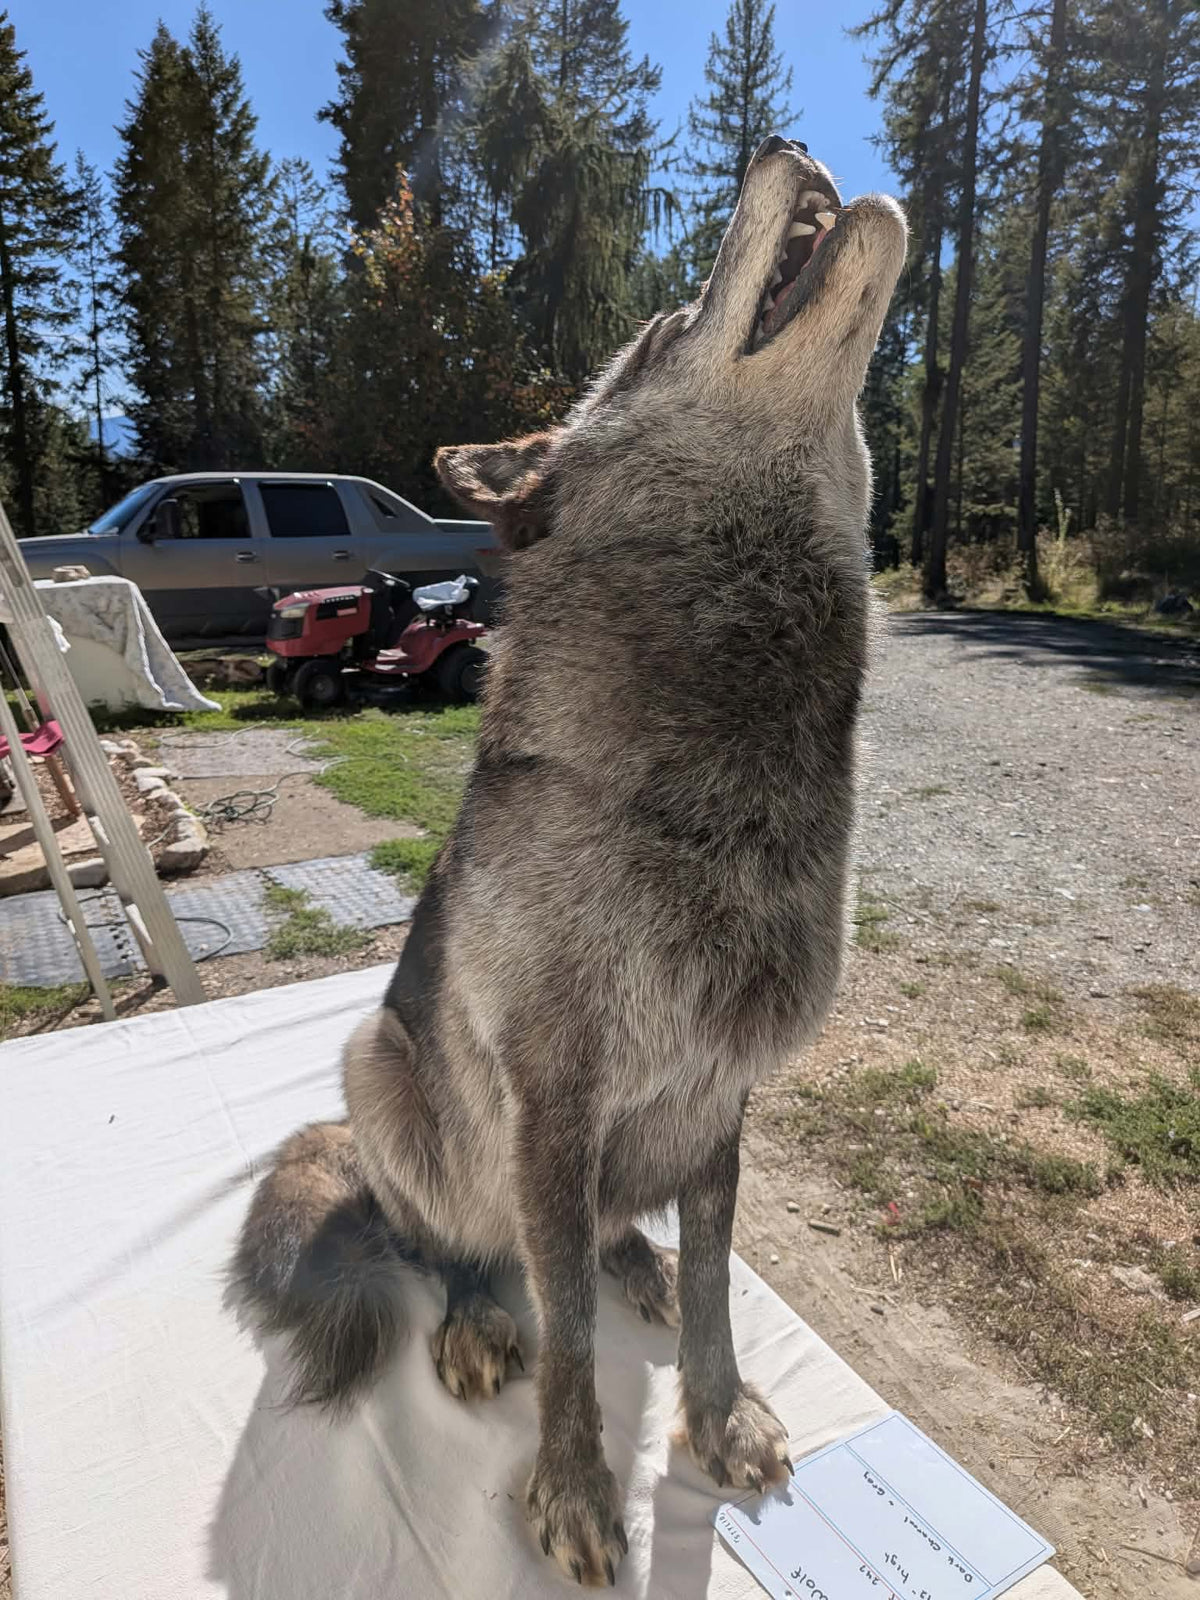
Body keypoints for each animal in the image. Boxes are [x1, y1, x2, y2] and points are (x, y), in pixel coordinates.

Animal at [230, 135, 906, 1587]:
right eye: (660, 329)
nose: (783, 147)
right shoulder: (552, 1099)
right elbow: (572, 1344)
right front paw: (578, 1492)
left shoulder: (722, 1092)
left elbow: (712, 1285)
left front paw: (716, 1415)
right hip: (376, 1067)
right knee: (461, 1246)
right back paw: (482, 1314)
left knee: (604, 1243)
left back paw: (628, 1256)